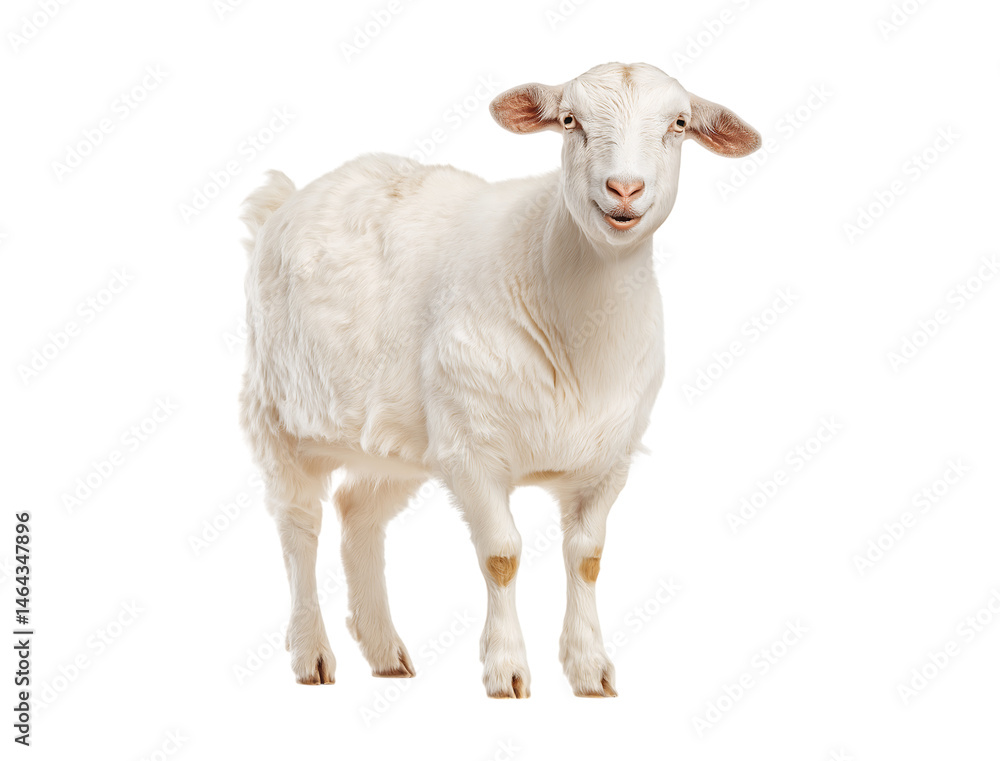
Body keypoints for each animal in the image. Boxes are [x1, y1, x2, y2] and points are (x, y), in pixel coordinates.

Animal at [240, 62, 760, 697]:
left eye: (679, 124)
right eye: (570, 120)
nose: (625, 190)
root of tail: (285, 201)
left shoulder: (607, 459)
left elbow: (587, 556)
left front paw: (590, 669)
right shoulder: (472, 450)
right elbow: (502, 556)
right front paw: (507, 668)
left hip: (400, 439)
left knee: (357, 511)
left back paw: (384, 650)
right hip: (277, 412)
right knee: (299, 525)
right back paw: (311, 653)